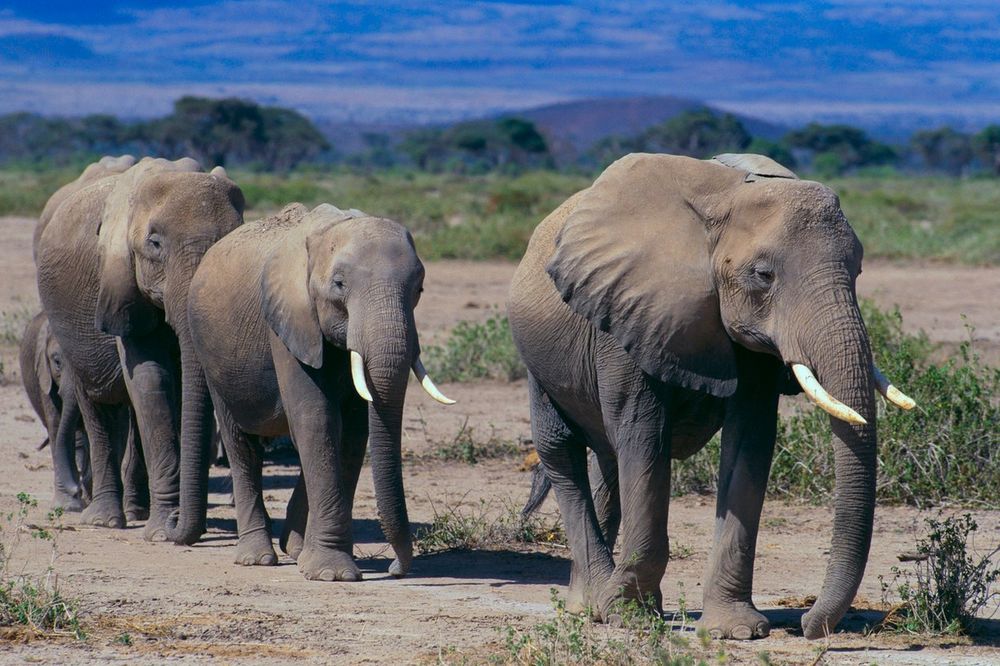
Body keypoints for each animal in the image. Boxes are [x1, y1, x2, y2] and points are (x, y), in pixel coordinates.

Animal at [38, 158, 245, 544]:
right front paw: (163, 533)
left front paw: (167, 525)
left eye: (230, 241)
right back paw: (107, 520)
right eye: (155, 244)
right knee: (96, 402)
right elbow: (151, 378)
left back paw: (137, 511)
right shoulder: (120, 282)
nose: (183, 528)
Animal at [188, 205, 454, 580]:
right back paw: (258, 557)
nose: (394, 569)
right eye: (339, 285)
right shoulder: (288, 321)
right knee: (241, 444)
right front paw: (334, 574)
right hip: (209, 354)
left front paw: (317, 562)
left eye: (419, 287)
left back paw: (295, 548)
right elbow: (317, 419)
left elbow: (353, 432)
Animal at [508, 152, 916, 640]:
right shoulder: (627, 315)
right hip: (538, 359)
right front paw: (629, 616)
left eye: (857, 272)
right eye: (763, 275)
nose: (808, 624)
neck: (725, 199)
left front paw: (735, 630)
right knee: (562, 450)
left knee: (605, 460)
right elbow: (644, 439)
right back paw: (595, 603)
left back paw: (589, 605)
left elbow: (749, 442)